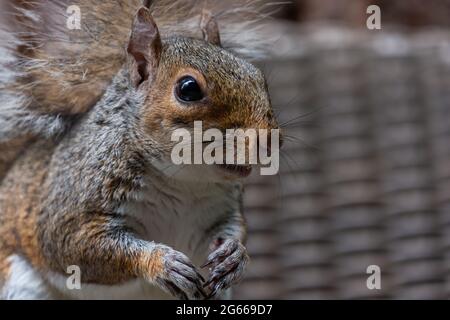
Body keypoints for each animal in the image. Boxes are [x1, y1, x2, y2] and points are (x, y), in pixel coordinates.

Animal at [0, 0, 282, 300]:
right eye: (188, 89)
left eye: (257, 75)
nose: (269, 141)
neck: (185, 180)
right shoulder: (71, 202)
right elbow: (68, 243)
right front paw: (161, 262)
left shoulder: (222, 209)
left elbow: (234, 228)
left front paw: (235, 255)